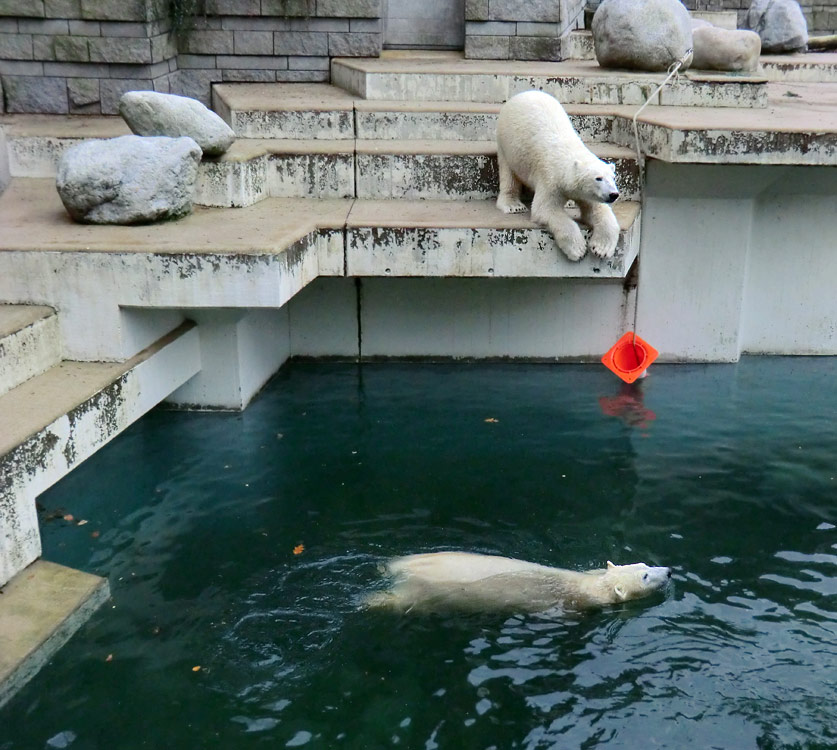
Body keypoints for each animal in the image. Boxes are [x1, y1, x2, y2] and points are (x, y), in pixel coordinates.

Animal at [496, 90, 620, 262]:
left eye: (613, 177)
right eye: (598, 178)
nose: (613, 194)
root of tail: (523, 93)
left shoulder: (588, 194)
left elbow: (597, 210)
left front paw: (601, 248)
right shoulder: (550, 179)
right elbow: (546, 209)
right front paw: (578, 250)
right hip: (506, 143)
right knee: (509, 175)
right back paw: (514, 205)